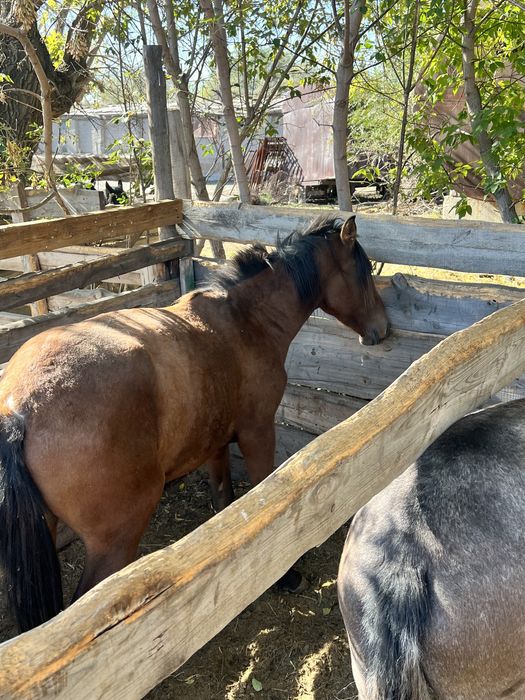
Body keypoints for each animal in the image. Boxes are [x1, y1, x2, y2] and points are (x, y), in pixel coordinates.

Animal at [0, 215, 389, 633]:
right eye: (364, 272)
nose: (383, 328)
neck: (245, 321)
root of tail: (19, 407)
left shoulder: (215, 443)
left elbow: (224, 499)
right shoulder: (257, 433)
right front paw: (286, 576)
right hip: (114, 542)